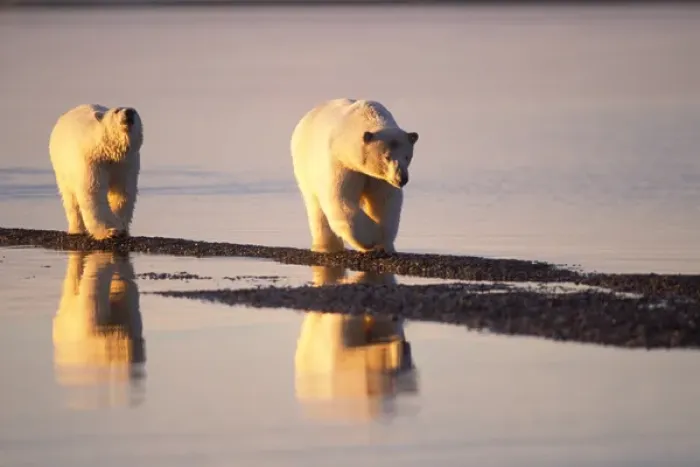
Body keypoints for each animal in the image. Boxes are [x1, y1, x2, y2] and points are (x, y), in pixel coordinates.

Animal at [49, 104, 144, 240]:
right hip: (62, 167)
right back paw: (76, 229)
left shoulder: (126, 164)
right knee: (70, 199)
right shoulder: (92, 161)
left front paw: (122, 227)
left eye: (134, 111)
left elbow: (123, 192)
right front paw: (110, 231)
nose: (129, 112)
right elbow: (94, 191)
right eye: (116, 111)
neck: (108, 151)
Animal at [290, 98, 419, 253]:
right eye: (387, 157)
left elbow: (384, 201)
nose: (402, 178)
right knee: (315, 206)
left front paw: (383, 244)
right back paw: (327, 246)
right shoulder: (342, 163)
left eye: (407, 156)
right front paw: (371, 237)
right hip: (305, 167)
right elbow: (341, 198)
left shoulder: (380, 178)